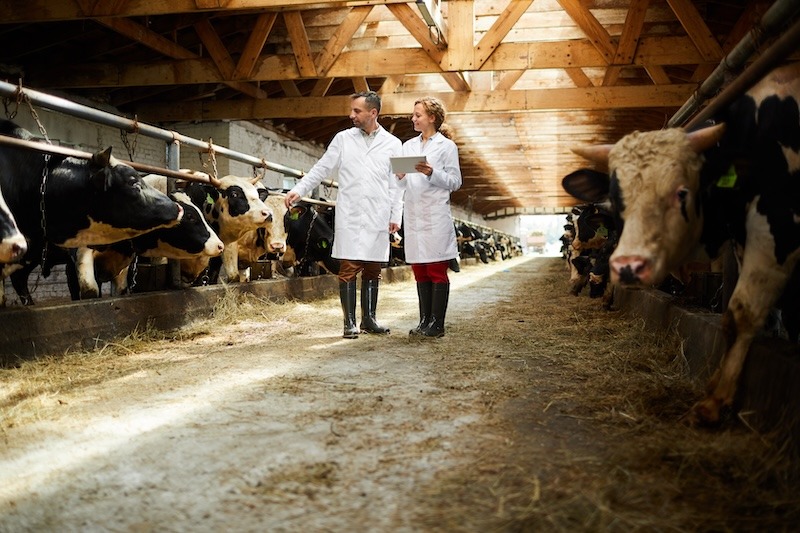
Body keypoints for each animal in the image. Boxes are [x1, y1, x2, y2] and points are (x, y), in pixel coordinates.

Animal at [564, 62, 800, 426]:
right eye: (617, 199)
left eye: (682, 192)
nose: (628, 266)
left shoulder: (776, 222)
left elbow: (743, 310)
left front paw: (715, 401)